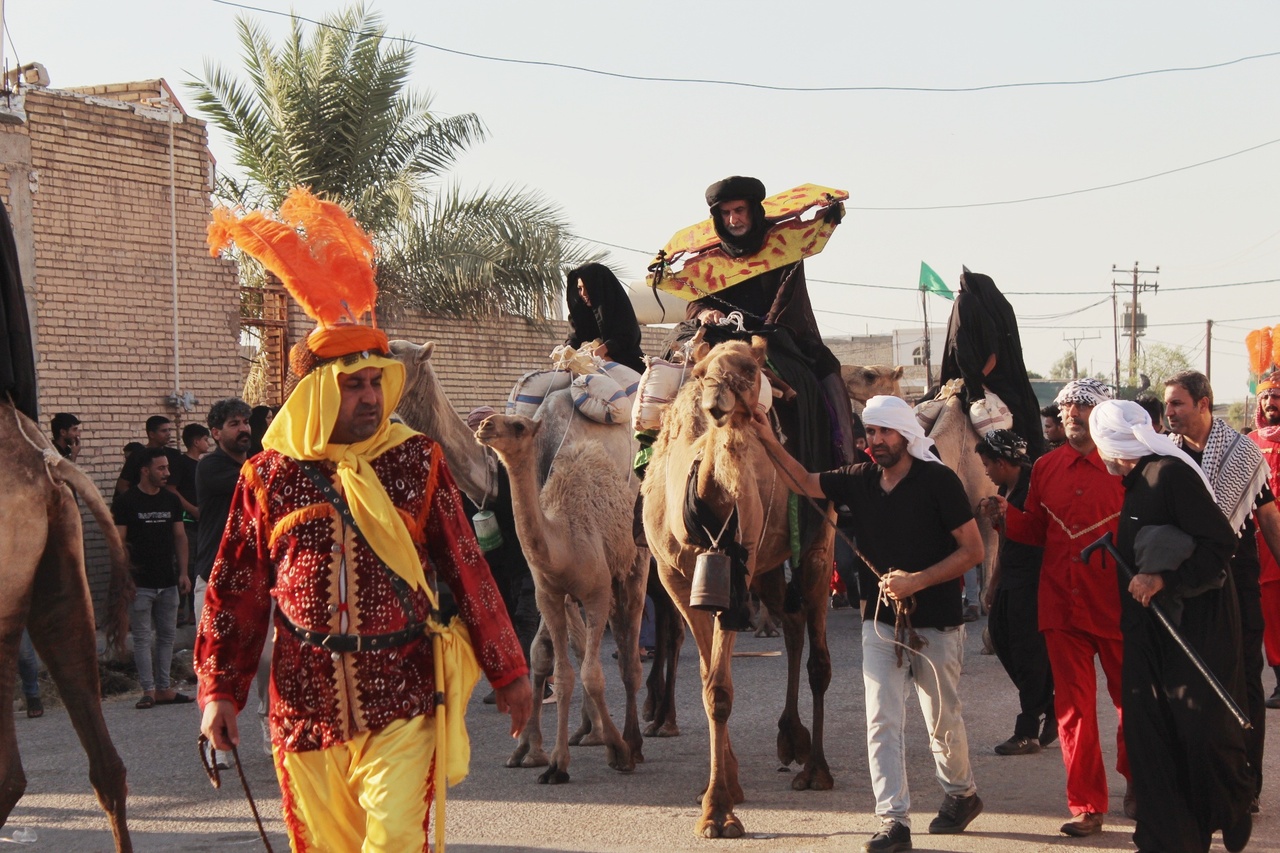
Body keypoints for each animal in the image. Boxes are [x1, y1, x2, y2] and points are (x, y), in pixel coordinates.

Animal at [473, 414, 645, 778]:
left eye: (519, 425)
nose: (485, 424)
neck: (563, 543)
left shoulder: (597, 594)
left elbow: (592, 675)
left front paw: (619, 751)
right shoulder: (550, 596)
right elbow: (565, 675)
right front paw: (556, 763)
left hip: (636, 564)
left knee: (628, 660)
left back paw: (634, 744)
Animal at [640, 335, 839, 835]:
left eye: (750, 370)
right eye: (702, 371)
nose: (717, 403)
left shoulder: (734, 576)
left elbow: (721, 691)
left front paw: (718, 811)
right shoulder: (676, 580)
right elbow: (708, 681)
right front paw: (722, 791)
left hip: (816, 545)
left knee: (819, 656)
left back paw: (815, 769)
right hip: (765, 567)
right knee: (791, 624)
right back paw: (791, 739)